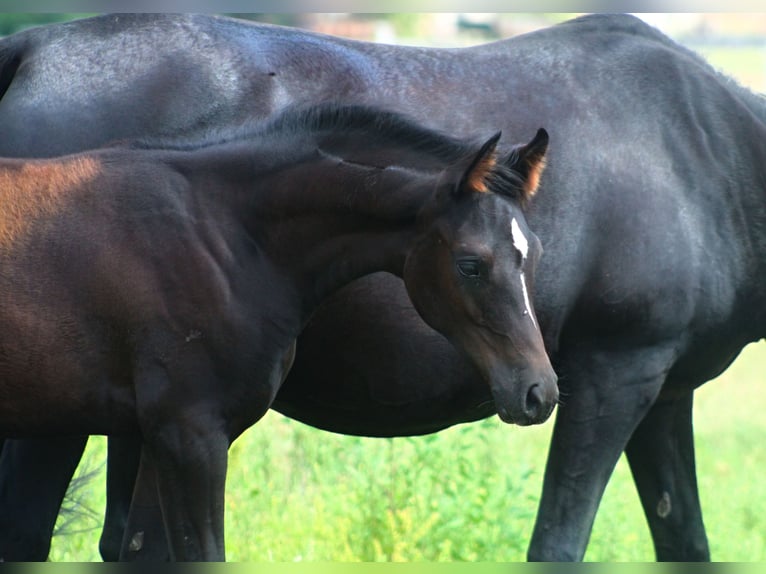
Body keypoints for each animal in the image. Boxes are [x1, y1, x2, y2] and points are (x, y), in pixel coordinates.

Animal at [0, 103, 556, 564]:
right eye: (470, 265)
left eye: (536, 255)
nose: (539, 392)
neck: (224, 239)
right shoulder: (190, 434)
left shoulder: (157, 436)